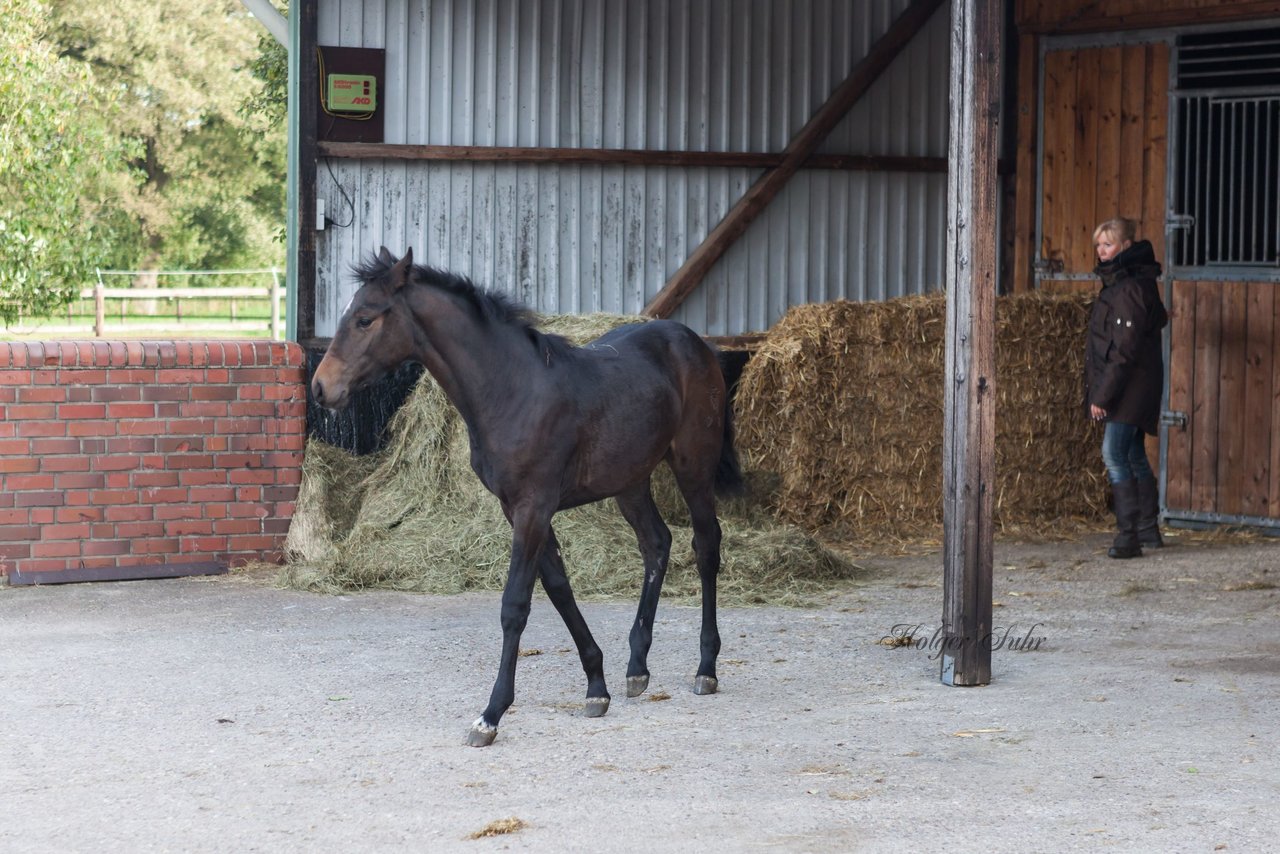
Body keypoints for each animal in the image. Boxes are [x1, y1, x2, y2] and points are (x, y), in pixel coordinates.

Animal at [311, 248, 747, 747]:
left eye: (365, 318)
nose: (321, 388)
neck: (513, 388)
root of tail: (696, 343)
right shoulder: (517, 509)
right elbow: (558, 589)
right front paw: (596, 687)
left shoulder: (532, 508)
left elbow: (515, 605)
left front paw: (491, 714)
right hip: (630, 480)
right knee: (656, 544)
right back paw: (637, 667)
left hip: (694, 465)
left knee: (706, 545)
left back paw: (706, 667)